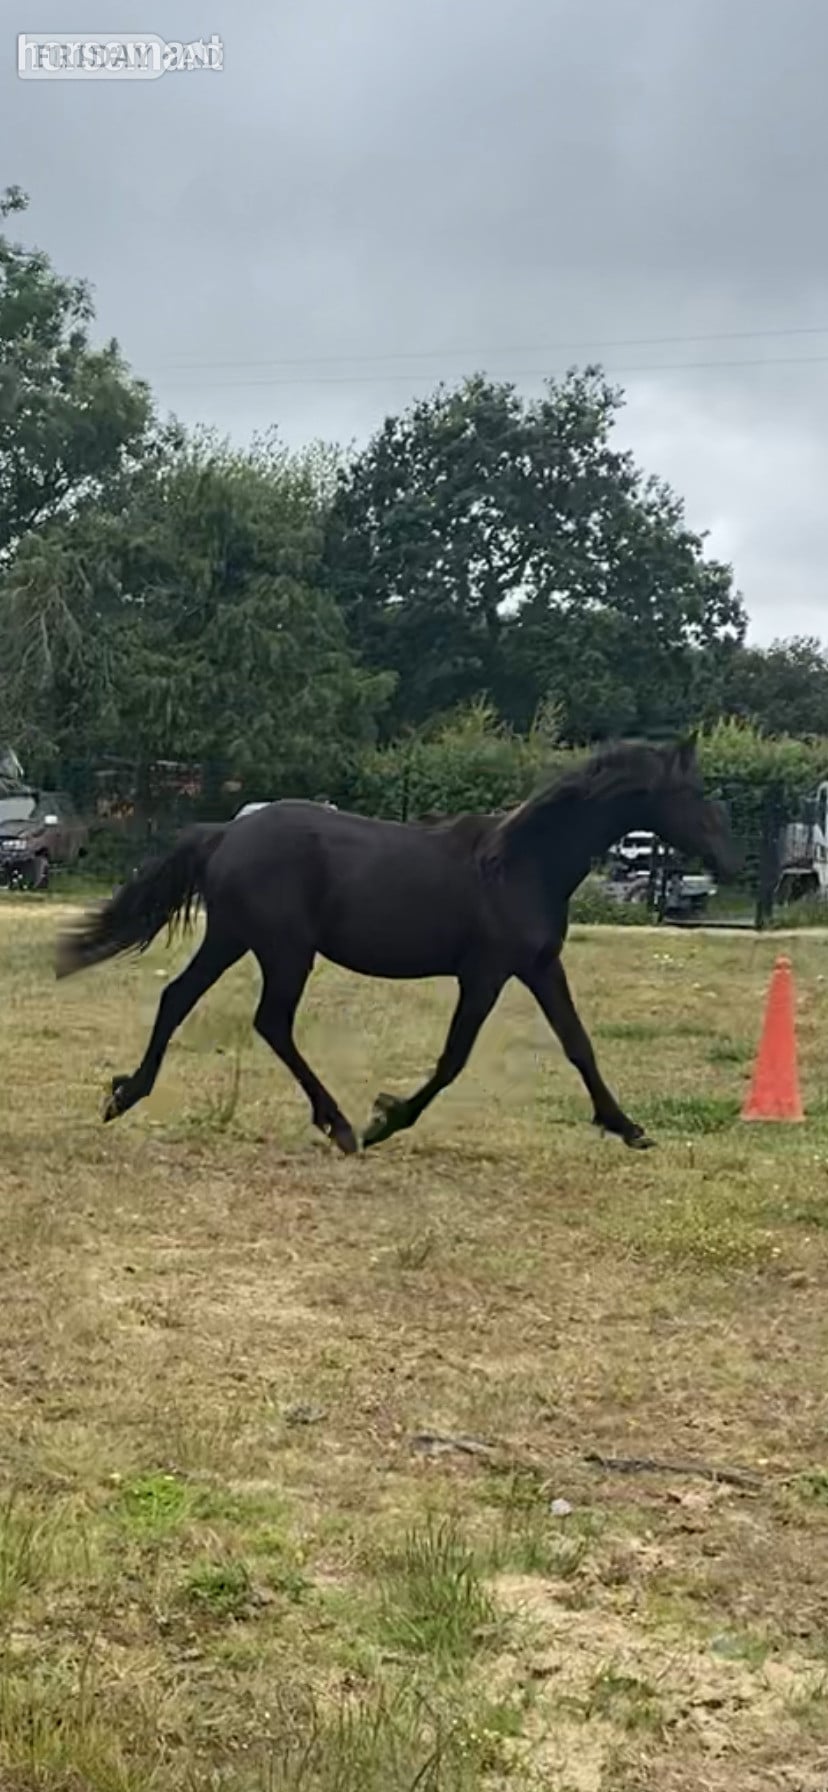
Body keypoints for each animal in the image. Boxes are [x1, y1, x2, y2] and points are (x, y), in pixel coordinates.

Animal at [56, 735, 740, 1154]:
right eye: (690, 792)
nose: (726, 856)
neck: (520, 864)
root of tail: (225, 833)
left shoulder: (540, 967)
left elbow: (579, 1045)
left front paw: (626, 1127)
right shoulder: (486, 973)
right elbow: (454, 1059)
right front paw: (387, 1118)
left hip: (232, 938)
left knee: (178, 998)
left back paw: (125, 1095)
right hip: (284, 949)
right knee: (270, 1021)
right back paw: (339, 1125)